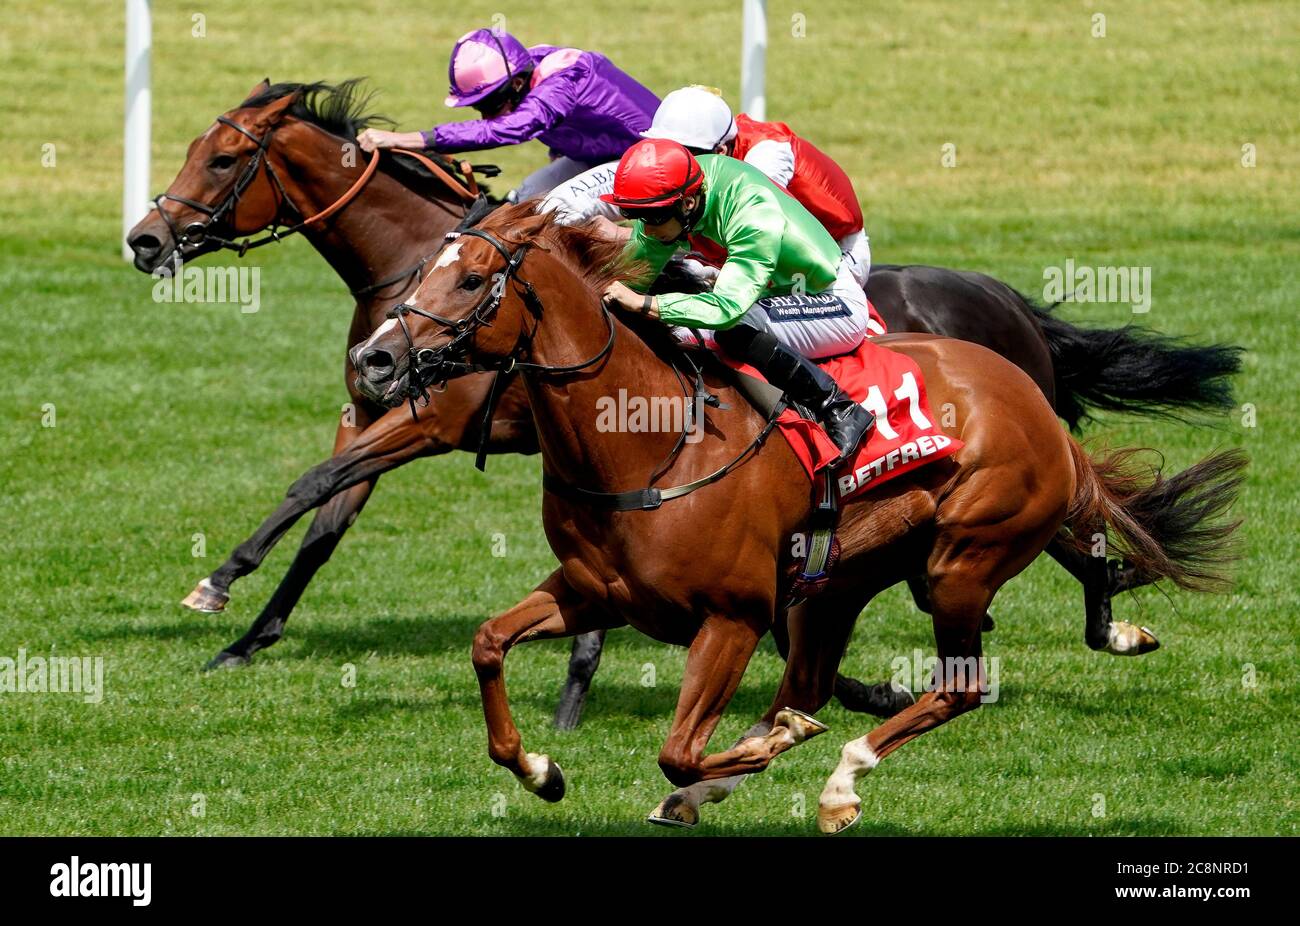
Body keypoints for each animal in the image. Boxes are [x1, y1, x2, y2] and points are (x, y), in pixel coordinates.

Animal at [129, 79, 1237, 728]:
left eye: (221, 159)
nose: (145, 238)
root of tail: (1005, 302)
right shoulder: (383, 408)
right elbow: (323, 515)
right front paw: (246, 631)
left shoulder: (431, 419)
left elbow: (315, 483)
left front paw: (216, 586)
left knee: (1082, 526)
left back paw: (1100, 623)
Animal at [351, 208, 1242, 832]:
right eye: (423, 269)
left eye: (471, 282)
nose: (375, 360)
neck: (647, 442)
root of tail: (1029, 391)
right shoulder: (592, 591)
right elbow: (488, 644)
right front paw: (541, 769)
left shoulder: (733, 615)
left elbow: (678, 749)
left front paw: (765, 748)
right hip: (839, 583)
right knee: (816, 679)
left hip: (961, 561)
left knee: (956, 685)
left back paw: (840, 776)